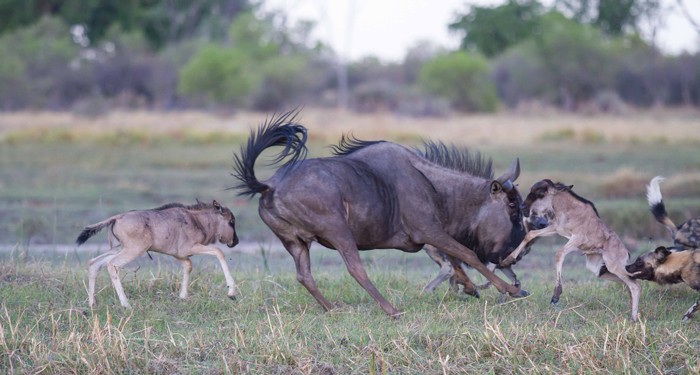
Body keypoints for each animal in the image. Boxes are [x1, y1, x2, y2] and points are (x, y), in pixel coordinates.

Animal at [76, 200, 239, 308]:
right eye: (231, 221)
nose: (235, 241)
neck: (197, 221)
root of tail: (117, 217)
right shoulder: (188, 249)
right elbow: (218, 251)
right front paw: (231, 291)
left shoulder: (179, 255)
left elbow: (188, 266)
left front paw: (182, 296)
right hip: (133, 250)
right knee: (112, 265)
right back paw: (125, 303)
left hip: (118, 248)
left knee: (94, 263)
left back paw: (92, 303)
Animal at [500, 181, 644, 322]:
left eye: (541, 193)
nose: (523, 207)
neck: (568, 209)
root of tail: (626, 252)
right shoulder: (556, 229)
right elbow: (530, 234)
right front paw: (508, 259)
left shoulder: (577, 238)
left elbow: (559, 253)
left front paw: (556, 295)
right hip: (598, 269)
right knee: (628, 283)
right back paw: (632, 313)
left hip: (615, 267)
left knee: (635, 286)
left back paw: (634, 318)